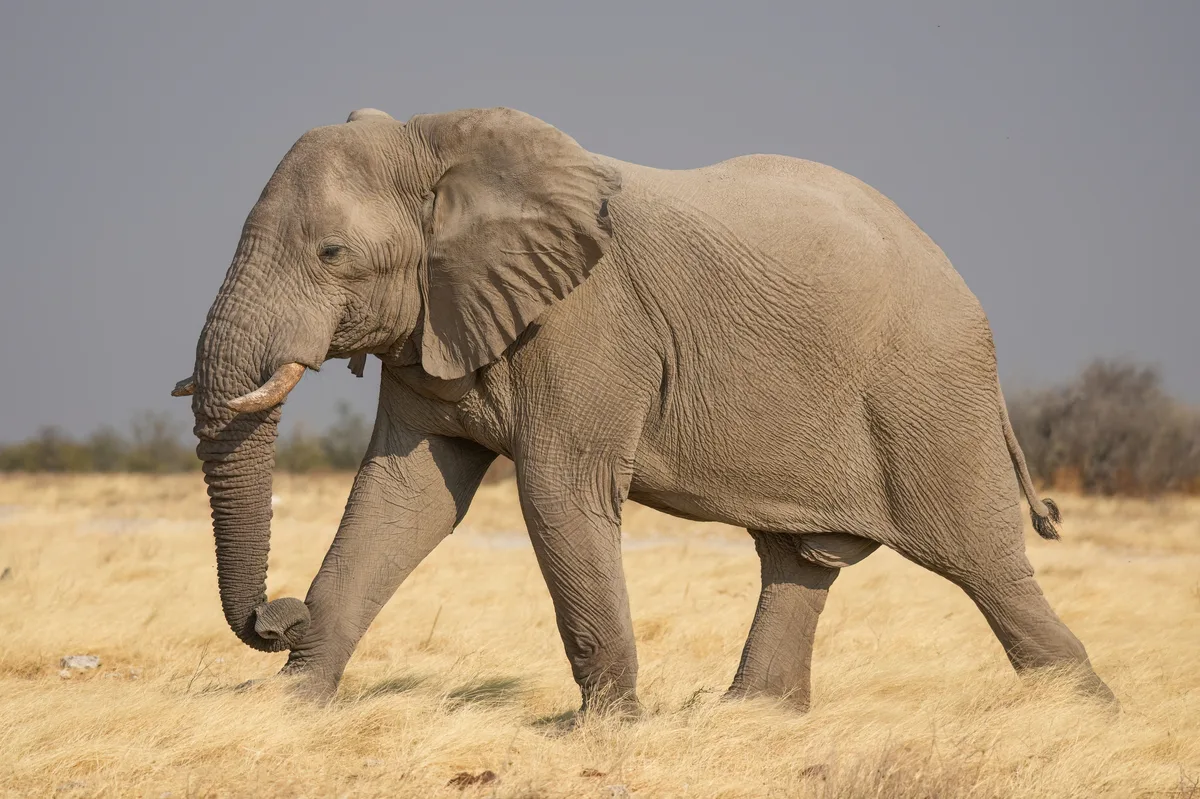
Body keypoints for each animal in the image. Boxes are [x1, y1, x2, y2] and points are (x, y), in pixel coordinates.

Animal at [172, 105, 1115, 714]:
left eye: (332, 253)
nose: (277, 614)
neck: (440, 141)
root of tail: (962, 283)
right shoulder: (436, 320)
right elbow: (404, 498)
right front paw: (287, 710)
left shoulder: (589, 323)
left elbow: (558, 494)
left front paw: (604, 730)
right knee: (800, 560)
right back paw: (749, 720)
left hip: (929, 392)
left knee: (984, 564)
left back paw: (1085, 715)